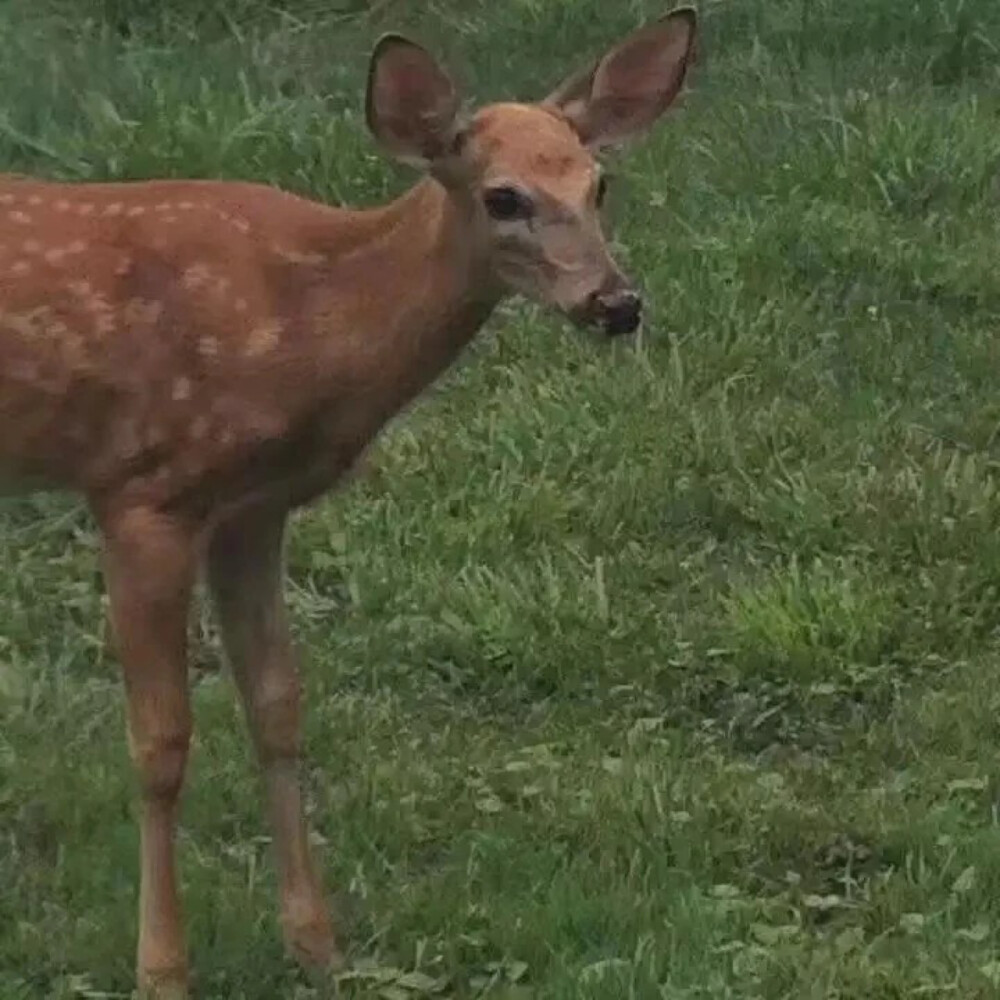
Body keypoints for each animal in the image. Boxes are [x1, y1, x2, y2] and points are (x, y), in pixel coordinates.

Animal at [1, 9, 696, 1000]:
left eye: (601, 183)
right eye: (504, 198)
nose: (617, 302)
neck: (309, 320)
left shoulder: (252, 510)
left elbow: (279, 708)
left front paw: (316, 945)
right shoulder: (141, 489)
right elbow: (160, 745)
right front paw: (162, 970)